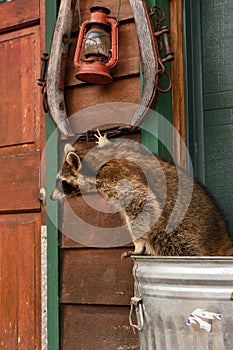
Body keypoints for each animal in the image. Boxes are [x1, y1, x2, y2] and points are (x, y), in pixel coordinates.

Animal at [50, 131, 233, 258]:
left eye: (61, 183)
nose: (51, 198)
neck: (94, 160)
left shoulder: (117, 176)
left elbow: (141, 202)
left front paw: (138, 244)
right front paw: (104, 141)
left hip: (184, 232)